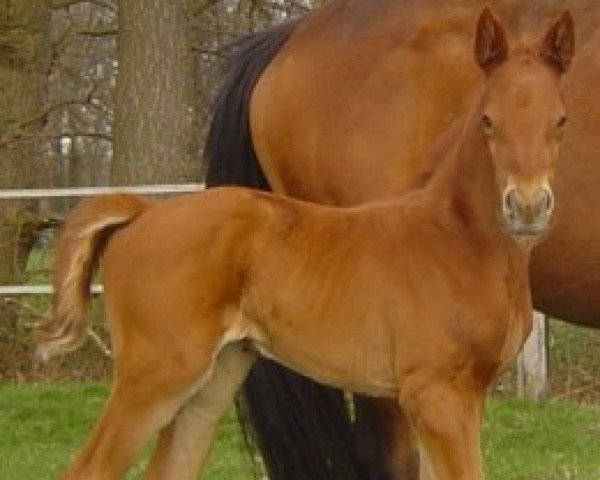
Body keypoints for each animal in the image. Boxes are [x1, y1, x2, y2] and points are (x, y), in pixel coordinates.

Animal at [37, 8, 572, 480]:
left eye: (561, 120)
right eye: (487, 119)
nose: (527, 207)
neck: (458, 239)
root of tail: (145, 212)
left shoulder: (466, 397)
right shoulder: (435, 394)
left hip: (213, 380)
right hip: (154, 377)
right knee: (88, 469)